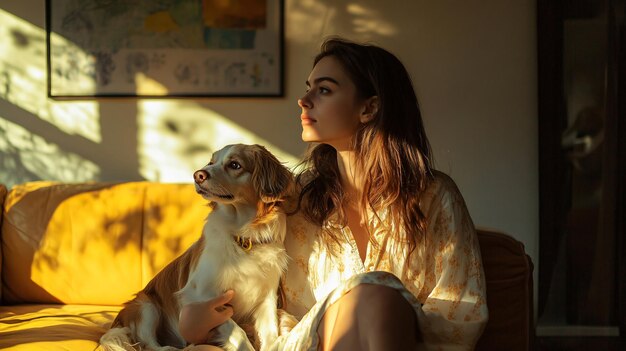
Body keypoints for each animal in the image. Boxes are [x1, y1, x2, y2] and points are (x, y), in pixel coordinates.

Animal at [100, 144, 292, 351]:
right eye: (211, 162)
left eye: (235, 164)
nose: (198, 174)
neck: (244, 235)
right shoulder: (199, 296)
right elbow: (236, 330)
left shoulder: (267, 298)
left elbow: (270, 333)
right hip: (145, 306)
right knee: (147, 343)